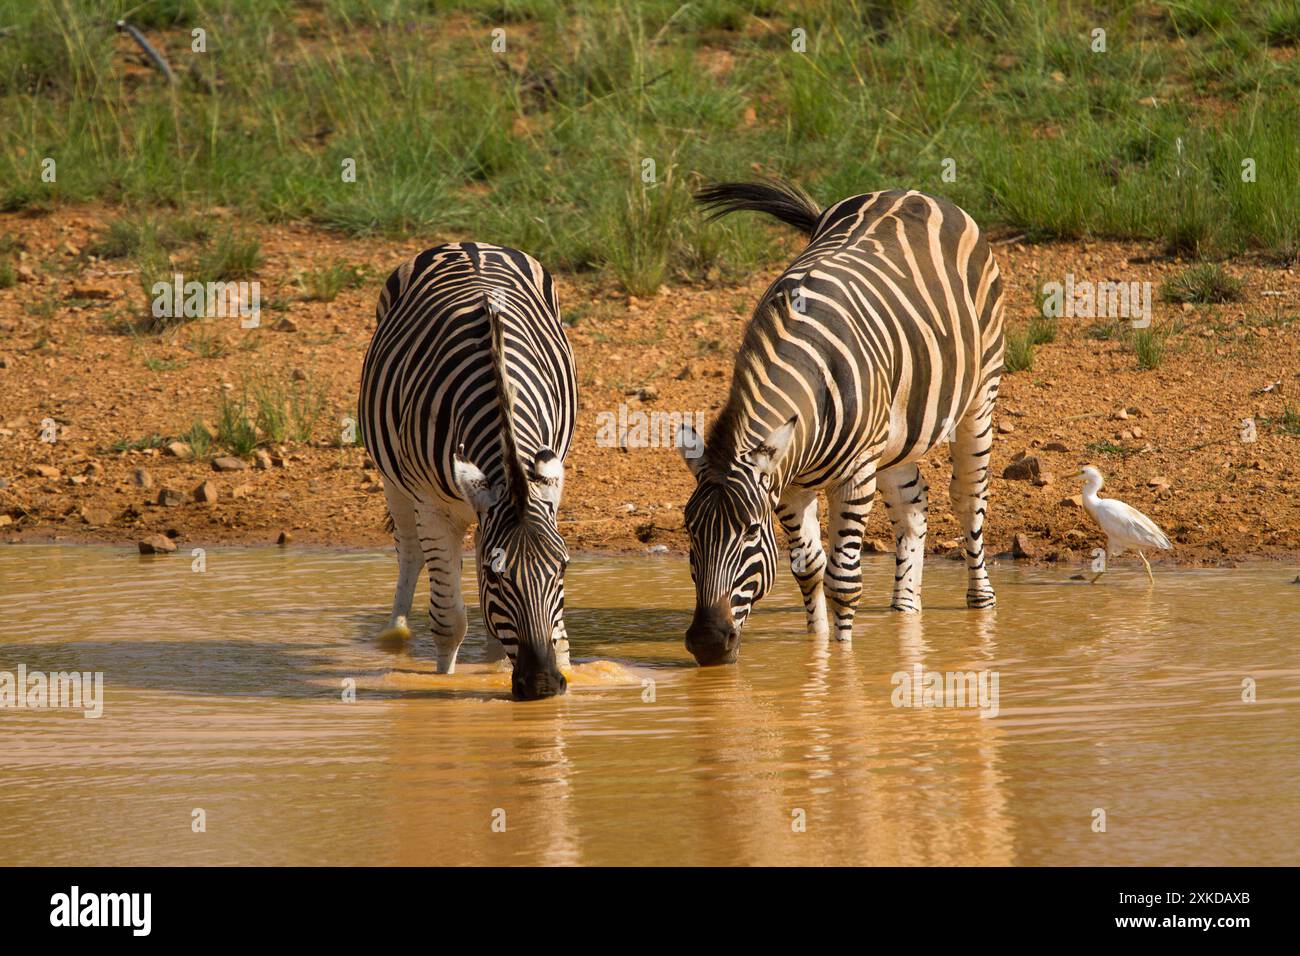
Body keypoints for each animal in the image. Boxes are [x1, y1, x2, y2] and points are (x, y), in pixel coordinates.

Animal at [358, 243, 577, 697]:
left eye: (562, 568)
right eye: (498, 579)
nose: (543, 685)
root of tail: (469, 245)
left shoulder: (545, 489)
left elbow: (558, 630)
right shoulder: (431, 507)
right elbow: (449, 622)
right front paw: (444, 689)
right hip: (394, 481)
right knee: (408, 549)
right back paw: (395, 632)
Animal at [681, 178, 1003, 665]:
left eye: (751, 531)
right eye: (690, 531)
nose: (708, 643)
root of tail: (910, 192)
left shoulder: (853, 476)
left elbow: (843, 582)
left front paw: (843, 663)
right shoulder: (788, 485)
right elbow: (808, 569)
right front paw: (815, 656)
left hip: (978, 398)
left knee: (968, 499)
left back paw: (980, 603)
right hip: (895, 436)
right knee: (913, 506)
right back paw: (904, 610)